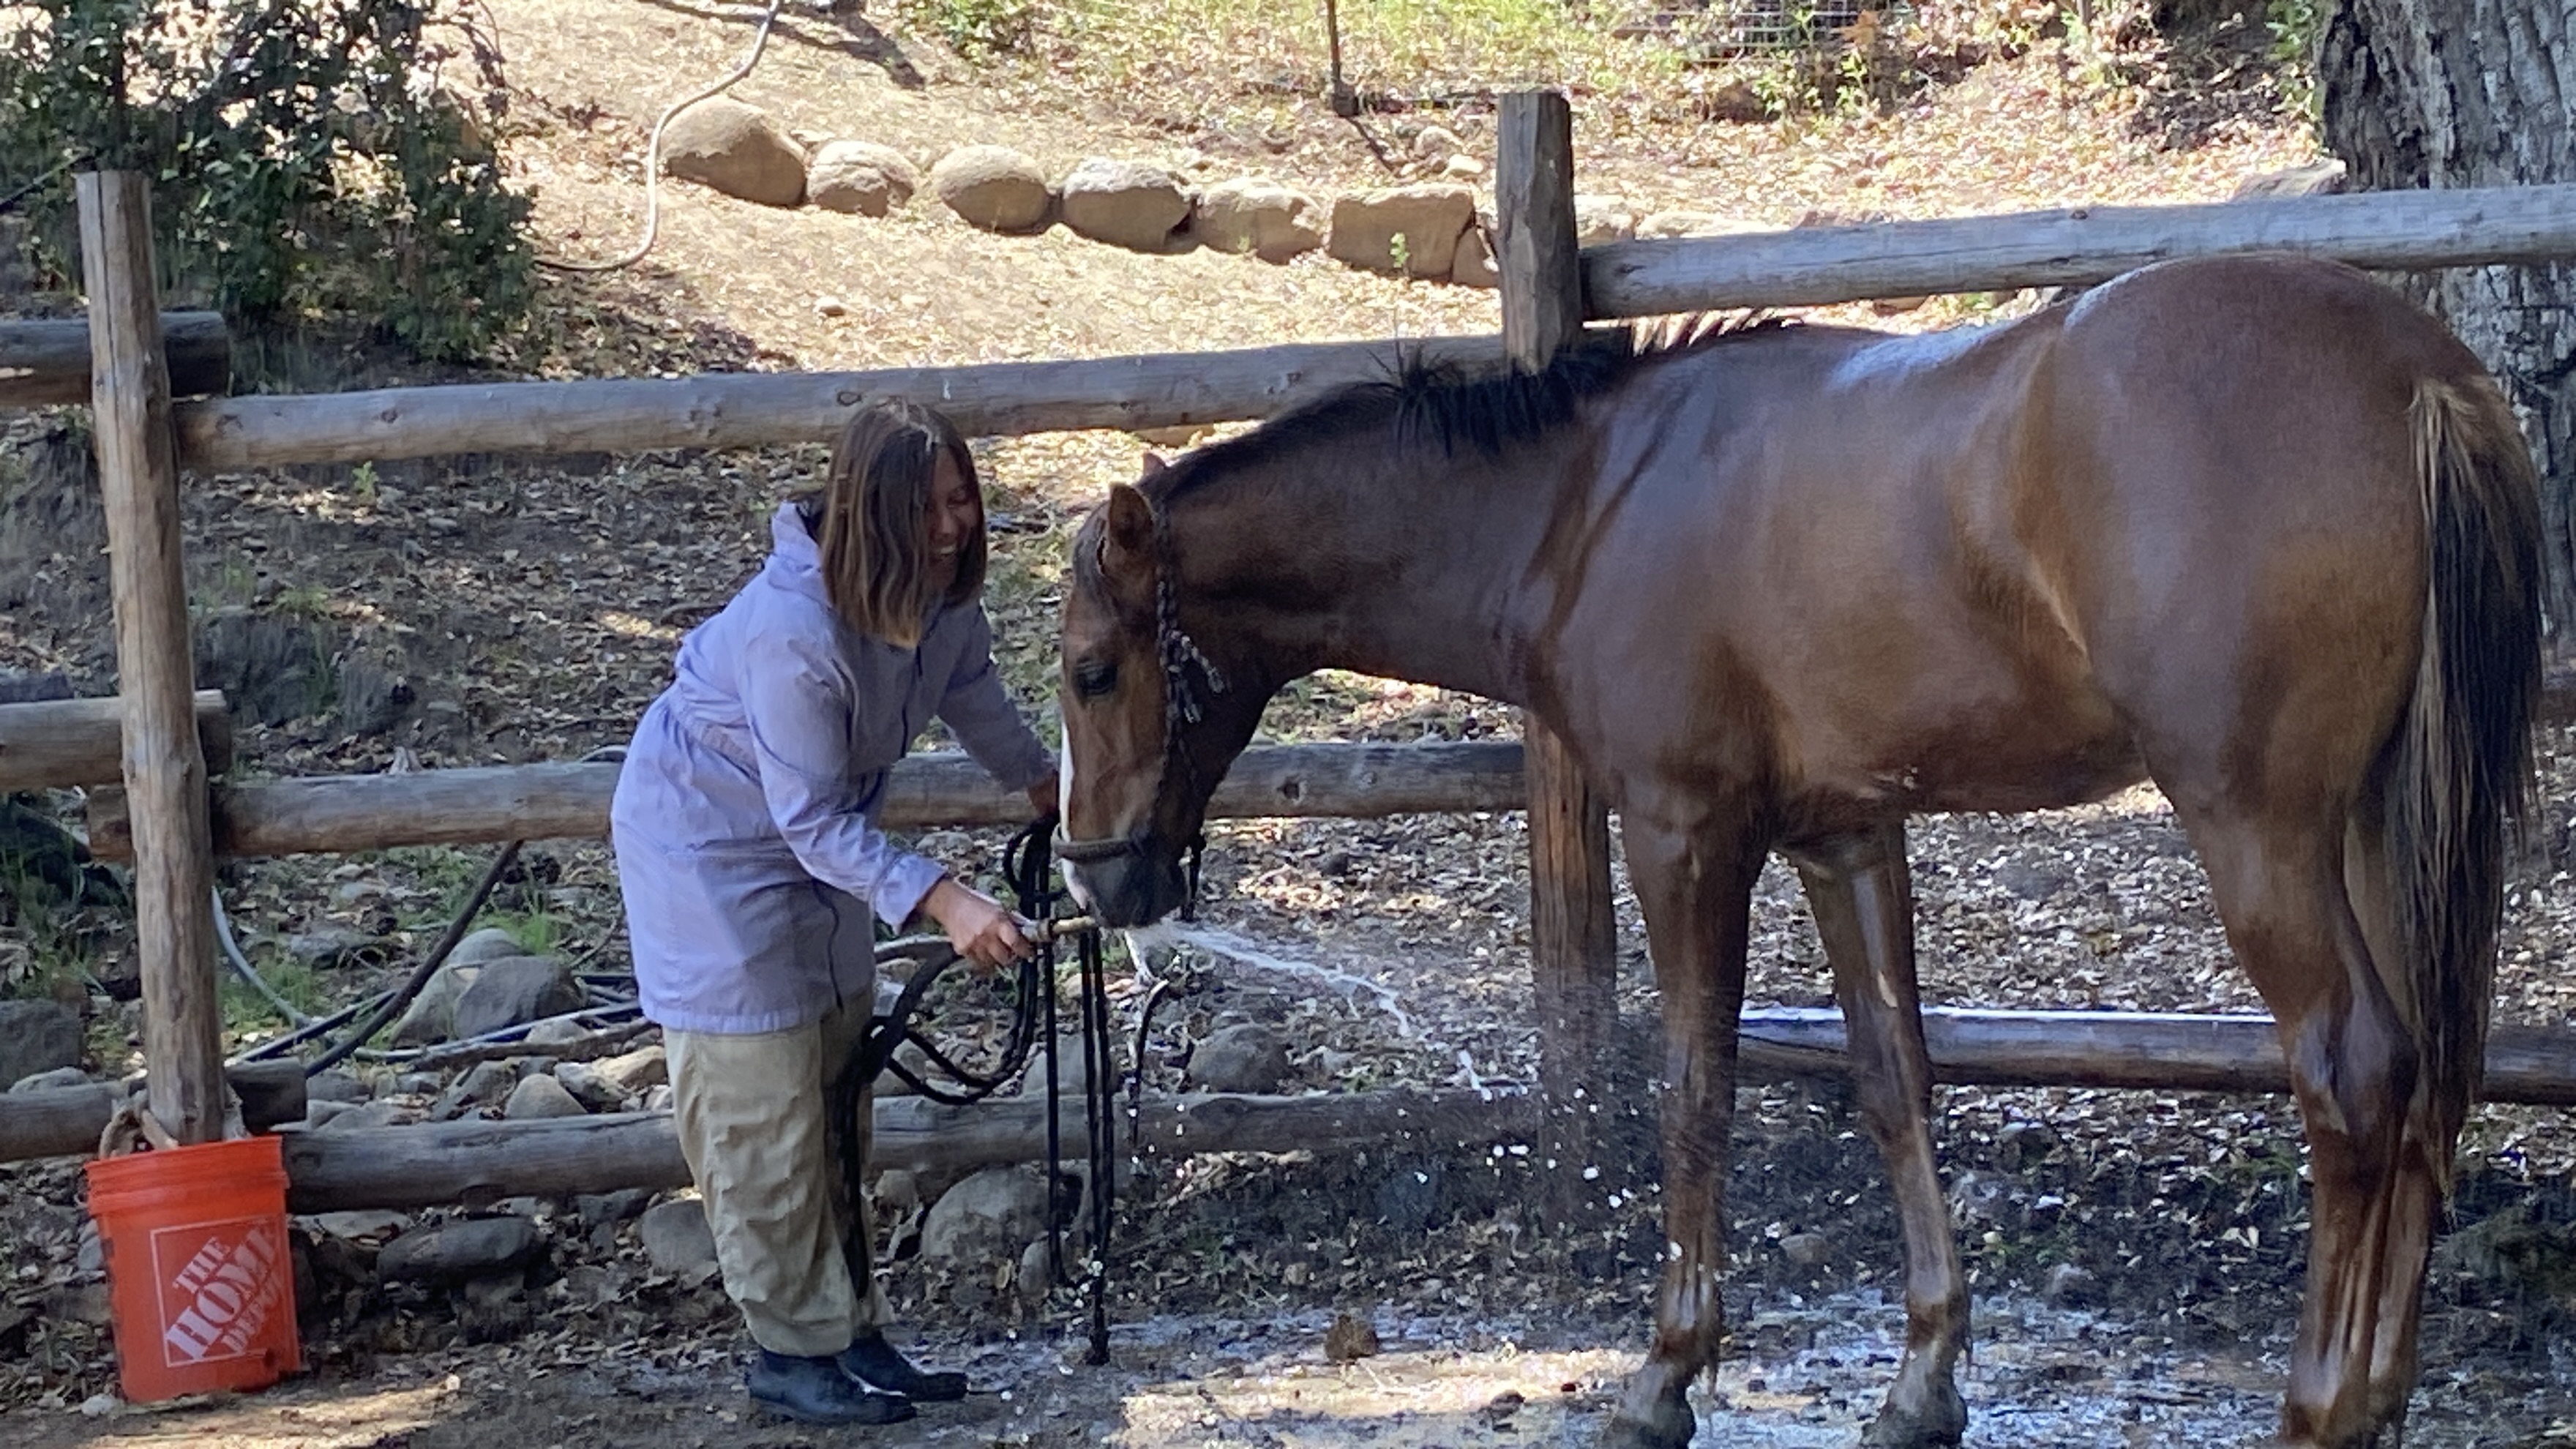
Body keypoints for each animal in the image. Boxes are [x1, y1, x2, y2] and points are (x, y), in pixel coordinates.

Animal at [1051, 252, 2542, 1449]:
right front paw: (1923, 1381)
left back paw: (2321, 1405)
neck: (1586, 500)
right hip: (2378, 827)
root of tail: (2415, 376)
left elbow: (1691, 1091)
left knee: (2355, 1076)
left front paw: (1666, 1375)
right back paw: (2383, 1394)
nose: (1097, 875)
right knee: (2429, 1071)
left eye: (1088, 669)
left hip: (2261, 833)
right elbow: (1894, 1079)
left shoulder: (1683, 832)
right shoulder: (1847, 835)